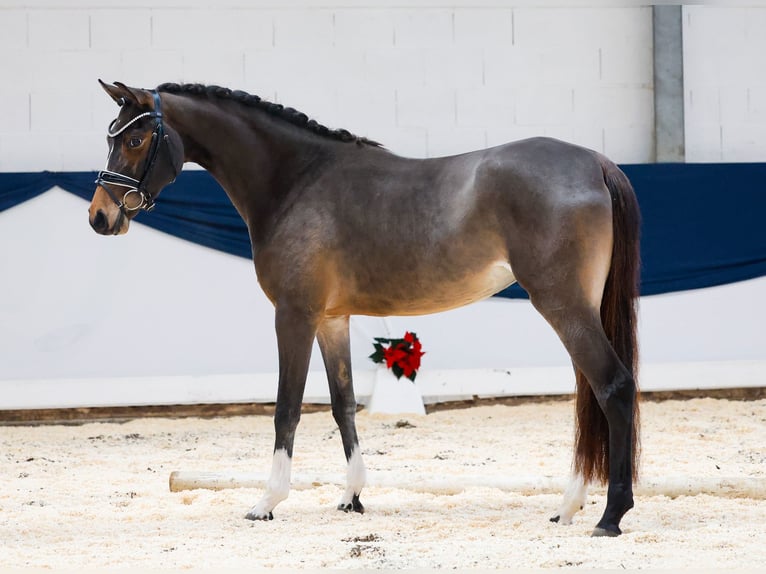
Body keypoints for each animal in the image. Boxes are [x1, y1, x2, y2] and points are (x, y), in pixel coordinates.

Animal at [90, 82, 640, 540]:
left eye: (135, 140)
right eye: (112, 136)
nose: (100, 216)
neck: (295, 181)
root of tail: (595, 162)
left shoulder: (294, 314)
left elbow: (287, 408)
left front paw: (267, 502)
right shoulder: (332, 319)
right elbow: (343, 403)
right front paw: (351, 497)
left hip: (562, 304)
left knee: (612, 386)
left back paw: (610, 516)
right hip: (576, 307)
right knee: (588, 394)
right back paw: (568, 507)